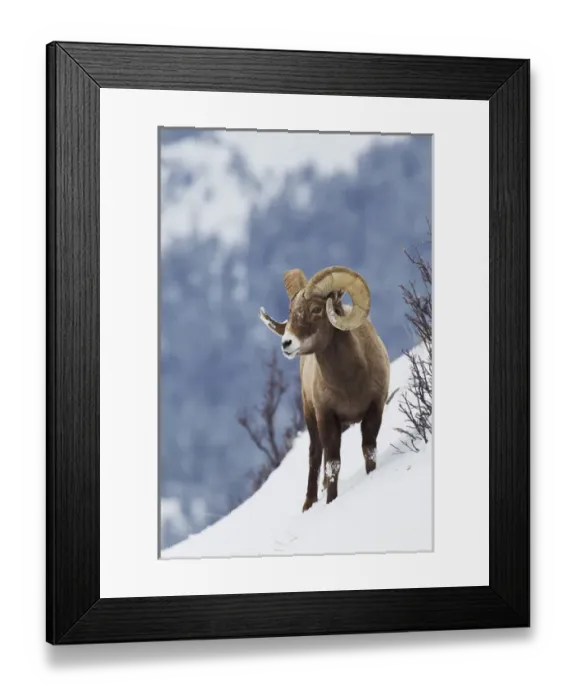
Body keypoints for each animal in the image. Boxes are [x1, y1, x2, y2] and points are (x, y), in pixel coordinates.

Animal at [259, 265, 391, 512]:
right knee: (314, 455)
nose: (287, 343)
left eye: (316, 309)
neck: (349, 383)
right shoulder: (327, 418)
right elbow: (332, 464)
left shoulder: (374, 409)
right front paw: (331, 501)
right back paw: (309, 504)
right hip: (311, 419)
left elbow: (369, 450)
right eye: (291, 311)